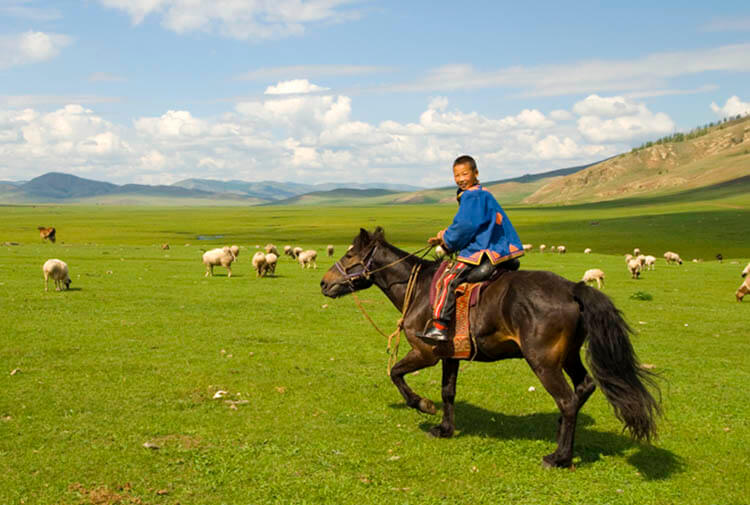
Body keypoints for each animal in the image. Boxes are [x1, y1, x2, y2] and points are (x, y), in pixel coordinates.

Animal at [320, 226, 660, 466]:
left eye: (349, 256)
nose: (324, 283)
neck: (419, 290)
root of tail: (573, 288)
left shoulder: (426, 353)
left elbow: (396, 373)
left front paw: (422, 404)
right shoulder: (449, 355)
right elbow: (448, 391)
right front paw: (444, 428)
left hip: (543, 362)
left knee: (566, 399)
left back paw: (559, 457)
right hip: (568, 356)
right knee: (584, 387)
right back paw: (561, 436)